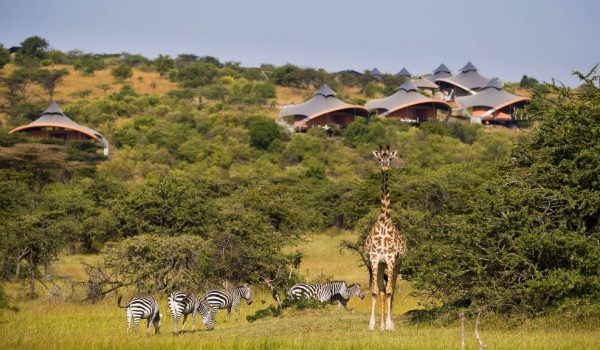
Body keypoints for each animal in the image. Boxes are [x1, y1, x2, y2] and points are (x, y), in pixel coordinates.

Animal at [360, 145, 408, 330]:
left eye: (391, 158)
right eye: (379, 158)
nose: (385, 166)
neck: (383, 220)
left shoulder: (391, 258)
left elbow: (388, 291)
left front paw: (389, 325)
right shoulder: (374, 258)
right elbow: (375, 291)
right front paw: (372, 325)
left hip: (398, 263)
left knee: (391, 289)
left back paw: (390, 324)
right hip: (381, 265)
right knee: (382, 289)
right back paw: (381, 325)